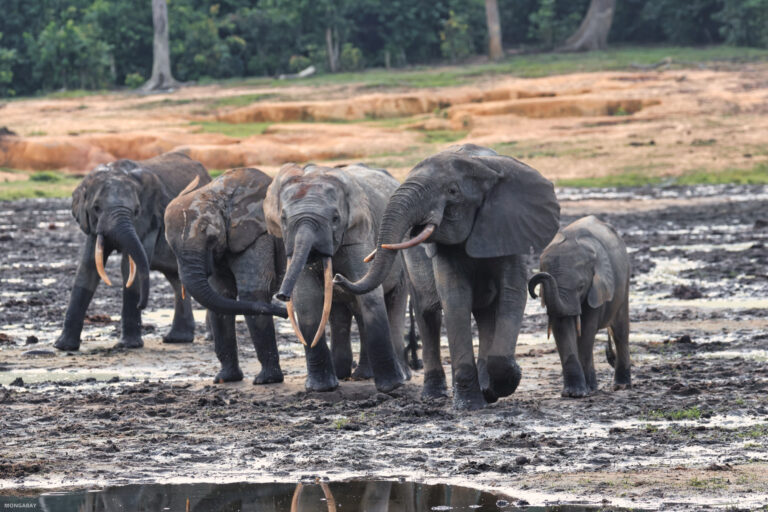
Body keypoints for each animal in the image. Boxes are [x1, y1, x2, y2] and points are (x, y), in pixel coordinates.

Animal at [54, 152, 211, 351]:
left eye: (136, 210)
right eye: (96, 208)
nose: (141, 305)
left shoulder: (151, 220)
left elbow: (129, 267)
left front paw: (129, 345)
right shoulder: (92, 225)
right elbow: (88, 267)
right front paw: (63, 347)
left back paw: (208, 338)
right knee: (177, 279)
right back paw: (177, 339)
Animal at [163, 168, 289, 385]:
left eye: (210, 236)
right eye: (171, 247)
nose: (284, 312)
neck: (217, 193)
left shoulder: (258, 236)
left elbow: (251, 295)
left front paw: (266, 381)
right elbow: (221, 296)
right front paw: (225, 379)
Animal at [264, 162, 432, 393]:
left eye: (335, 218)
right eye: (283, 219)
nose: (281, 296)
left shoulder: (359, 234)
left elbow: (371, 297)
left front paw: (391, 387)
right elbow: (307, 299)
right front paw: (321, 389)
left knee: (393, 304)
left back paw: (398, 376)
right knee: (342, 312)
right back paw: (347, 374)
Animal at [334, 144, 560, 410]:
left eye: (452, 191)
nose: (336, 278)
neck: (481, 164)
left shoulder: (509, 227)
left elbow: (512, 294)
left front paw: (500, 384)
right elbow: (455, 298)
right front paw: (470, 405)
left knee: (485, 315)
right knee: (428, 314)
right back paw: (435, 395)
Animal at [528, 215, 631, 397]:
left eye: (581, 287)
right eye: (542, 291)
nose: (540, 277)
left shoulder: (597, 288)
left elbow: (587, 330)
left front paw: (585, 391)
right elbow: (562, 327)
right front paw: (574, 393)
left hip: (624, 279)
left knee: (620, 331)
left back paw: (621, 385)